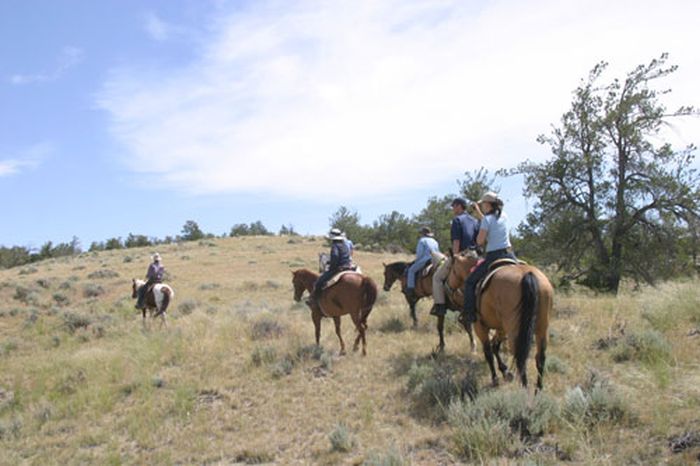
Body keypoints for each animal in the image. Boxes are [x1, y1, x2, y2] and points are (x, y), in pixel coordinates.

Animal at [452, 251, 556, 390]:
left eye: (451, 270)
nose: (449, 287)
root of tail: (528, 275)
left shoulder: (480, 327)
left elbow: (488, 351)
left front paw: (495, 378)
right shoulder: (501, 328)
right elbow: (495, 346)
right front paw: (505, 371)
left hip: (514, 330)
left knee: (520, 356)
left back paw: (524, 389)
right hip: (542, 328)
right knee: (540, 356)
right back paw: (538, 389)